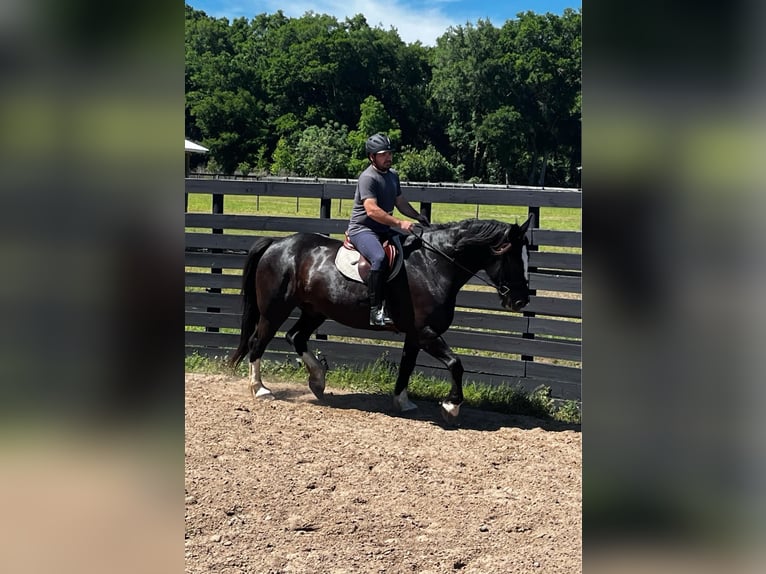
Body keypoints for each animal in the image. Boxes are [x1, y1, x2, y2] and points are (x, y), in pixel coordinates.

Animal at [229, 216, 533, 423]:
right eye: (512, 257)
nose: (520, 301)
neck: (433, 265)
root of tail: (276, 243)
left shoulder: (415, 335)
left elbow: (407, 367)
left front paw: (402, 402)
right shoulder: (426, 332)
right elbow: (455, 364)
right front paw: (451, 406)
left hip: (315, 311)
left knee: (296, 337)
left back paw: (317, 381)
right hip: (275, 310)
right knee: (258, 342)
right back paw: (260, 389)